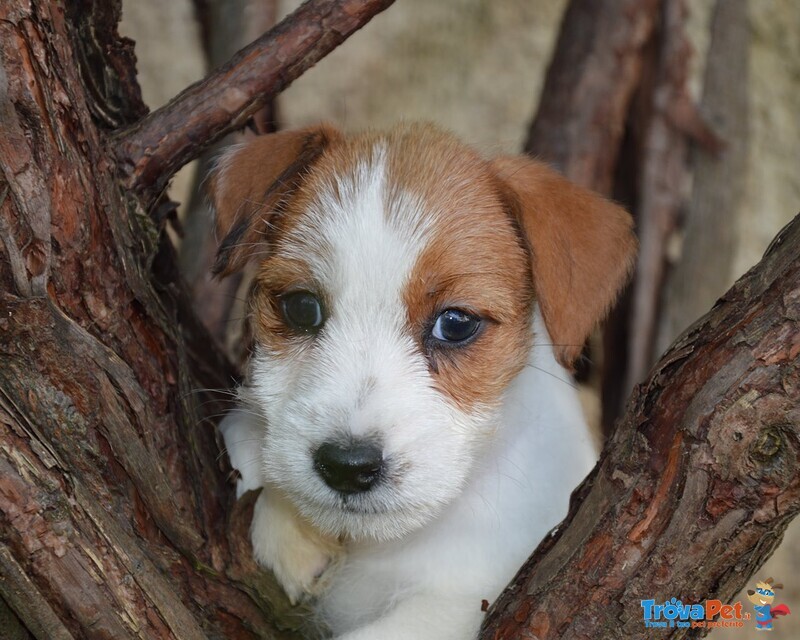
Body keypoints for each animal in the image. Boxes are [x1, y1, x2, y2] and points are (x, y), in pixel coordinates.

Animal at [214, 122, 636, 636]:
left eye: (454, 324)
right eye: (300, 307)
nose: (347, 467)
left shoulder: (458, 603)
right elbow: (244, 432)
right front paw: (291, 525)